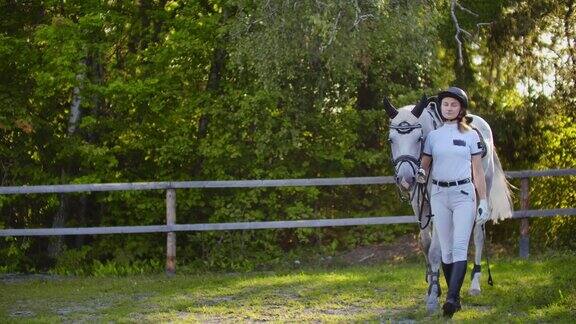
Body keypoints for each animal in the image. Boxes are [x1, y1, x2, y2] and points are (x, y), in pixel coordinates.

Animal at [382, 95, 512, 312]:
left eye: (419, 139)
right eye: (391, 140)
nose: (406, 179)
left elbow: (435, 250)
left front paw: (434, 294)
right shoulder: (419, 206)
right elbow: (426, 245)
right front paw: (433, 284)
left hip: (481, 196)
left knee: (478, 236)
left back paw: (475, 285)